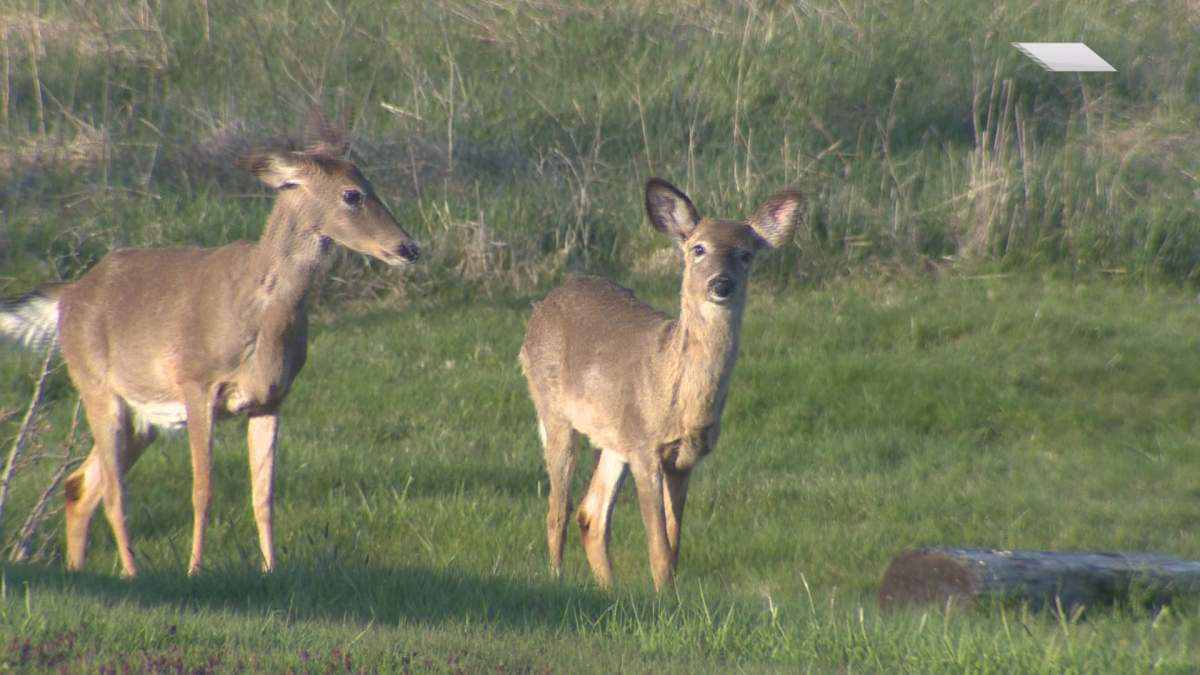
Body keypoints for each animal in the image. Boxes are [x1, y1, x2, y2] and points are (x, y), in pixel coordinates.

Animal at [0, 140, 419, 578]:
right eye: (352, 195)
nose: (409, 248)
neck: (260, 314)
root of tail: (68, 295)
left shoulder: (271, 398)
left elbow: (263, 495)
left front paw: (271, 568)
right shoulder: (196, 382)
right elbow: (203, 489)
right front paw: (195, 569)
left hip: (144, 417)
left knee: (80, 484)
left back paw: (80, 568)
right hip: (97, 387)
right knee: (114, 492)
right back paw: (132, 572)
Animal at [519, 178, 803, 591]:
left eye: (746, 254)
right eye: (698, 248)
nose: (721, 283)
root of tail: (545, 305)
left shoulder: (684, 458)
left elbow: (674, 543)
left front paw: (669, 593)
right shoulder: (644, 448)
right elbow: (658, 546)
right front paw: (662, 595)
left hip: (613, 436)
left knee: (591, 513)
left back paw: (609, 588)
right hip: (554, 411)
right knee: (558, 509)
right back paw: (556, 578)